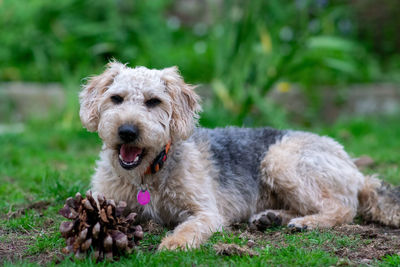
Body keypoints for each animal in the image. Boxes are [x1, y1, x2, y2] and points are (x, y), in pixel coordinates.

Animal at [79, 61, 400, 251]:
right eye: (116, 98)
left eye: (153, 102)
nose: (127, 131)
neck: (147, 174)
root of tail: (353, 168)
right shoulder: (107, 199)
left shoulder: (206, 211)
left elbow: (190, 227)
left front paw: (174, 244)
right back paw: (272, 217)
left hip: (279, 161)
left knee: (342, 208)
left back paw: (306, 223)